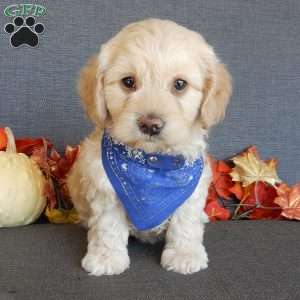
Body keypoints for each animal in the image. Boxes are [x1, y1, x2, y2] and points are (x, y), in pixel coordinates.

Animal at [67, 18, 232, 276]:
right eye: (128, 82)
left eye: (180, 84)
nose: (150, 125)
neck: (151, 162)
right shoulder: (104, 188)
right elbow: (107, 225)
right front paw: (106, 258)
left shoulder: (192, 187)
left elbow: (186, 223)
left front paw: (185, 255)